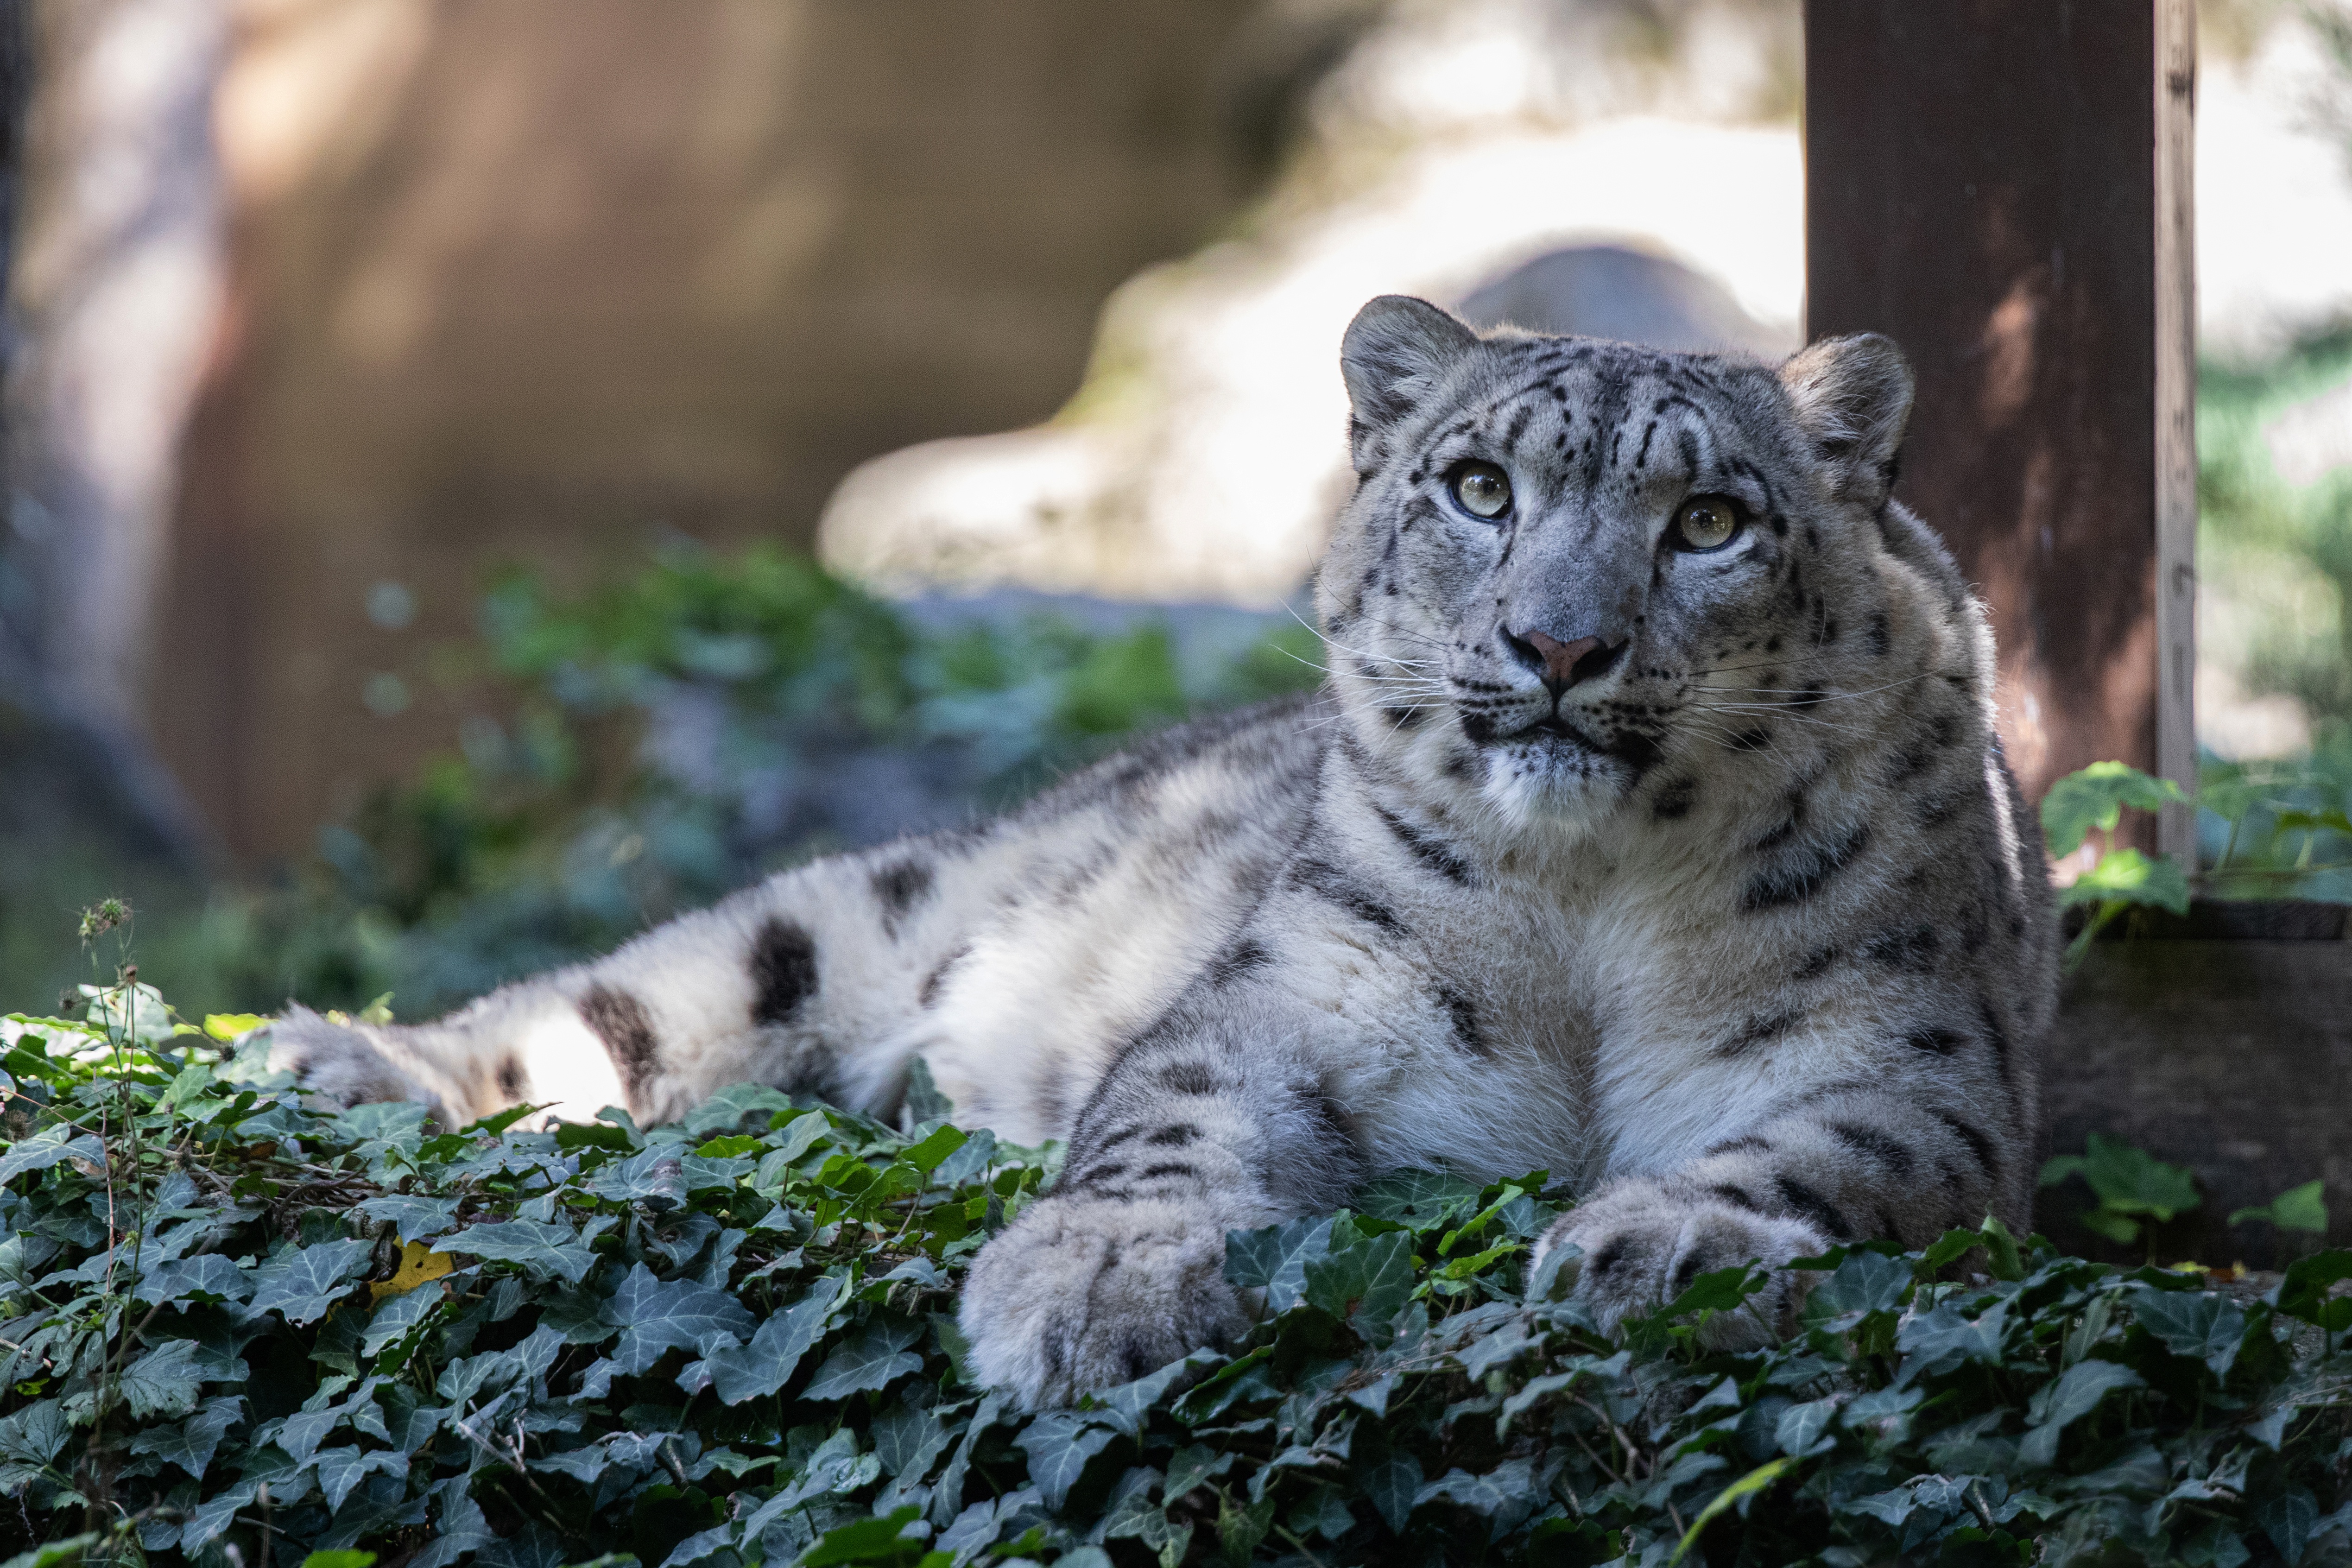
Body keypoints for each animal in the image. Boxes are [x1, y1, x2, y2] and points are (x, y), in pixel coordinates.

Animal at [267, 294, 2051, 1410]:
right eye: (1479, 486)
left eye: (1710, 523)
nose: (1555, 645)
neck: (1590, 917)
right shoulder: (1293, 1000)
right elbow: (1173, 1117)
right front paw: (1095, 1284)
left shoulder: (1910, 1061)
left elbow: (1835, 1148)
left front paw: (1663, 1240)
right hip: (876, 909)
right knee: (637, 997)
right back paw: (340, 1061)